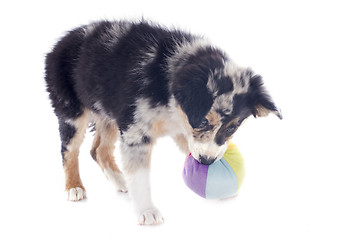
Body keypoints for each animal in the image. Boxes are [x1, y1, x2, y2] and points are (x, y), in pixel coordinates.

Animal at [44, 20, 282, 225]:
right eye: (203, 120)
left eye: (232, 127)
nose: (206, 163)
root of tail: (59, 43)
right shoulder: (136, 130)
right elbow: (140, 174)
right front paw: (147, 211)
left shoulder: (180, 128)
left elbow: (192, 146)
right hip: (72, 110)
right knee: (69, 150)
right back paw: (74, 187)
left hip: (107, 113)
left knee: (98, 150)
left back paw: (120, 181)